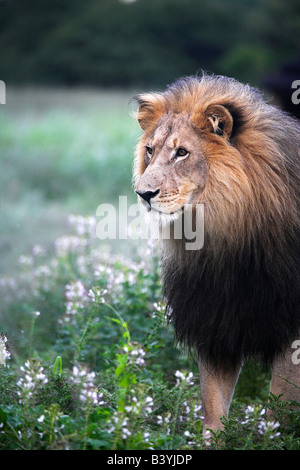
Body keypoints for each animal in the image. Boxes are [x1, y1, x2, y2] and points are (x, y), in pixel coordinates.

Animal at [132, 74, 300, 436]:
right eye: (150, 150)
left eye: (182, 153)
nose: (143, 194)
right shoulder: (215, 320)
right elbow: (213, 408)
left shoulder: (291, 332)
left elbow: (280, 411)